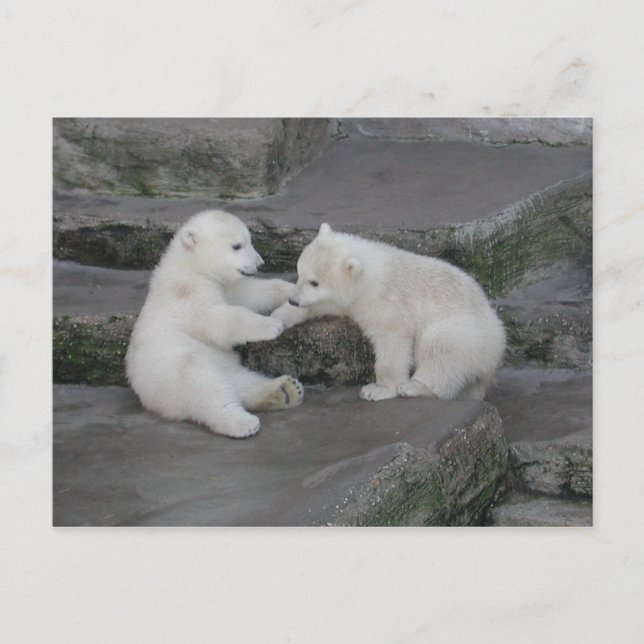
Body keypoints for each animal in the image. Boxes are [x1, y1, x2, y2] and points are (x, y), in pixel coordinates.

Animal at [126, 210, 303, 438]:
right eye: (236, 246)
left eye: (249, 241)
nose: (260, 264)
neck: (190, 266)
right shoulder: (188, 295)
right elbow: (217, 319)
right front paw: (272, 325)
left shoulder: (226, 286)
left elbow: (250, 294)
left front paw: (292, 290)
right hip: (172, 373)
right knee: (204, 385)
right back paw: (241, 422)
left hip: (224, 367)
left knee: (241, 382)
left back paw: (287, 390)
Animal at [271, 223, 506, 402]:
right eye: (299, 272)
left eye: (314, 282)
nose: (294, 299)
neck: (373, 273)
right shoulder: (352, 300)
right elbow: (325, 304)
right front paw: (278, 317)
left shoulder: (386, 301)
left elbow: (392, 340)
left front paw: (378, 389)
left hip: (467, 331)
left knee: (441, 347)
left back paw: (415, 387)